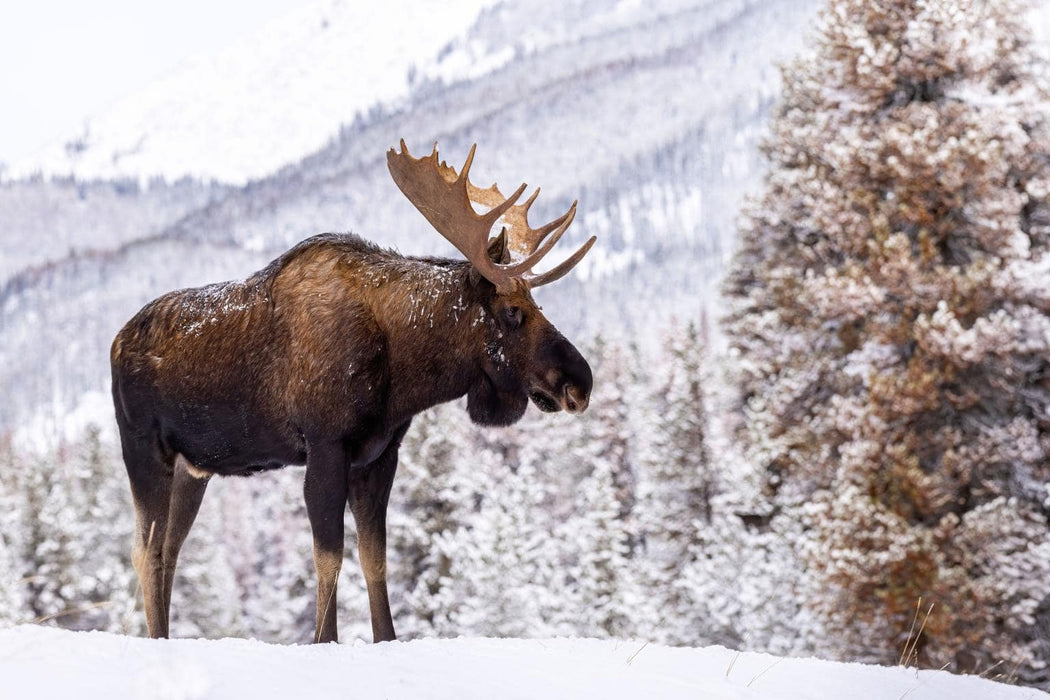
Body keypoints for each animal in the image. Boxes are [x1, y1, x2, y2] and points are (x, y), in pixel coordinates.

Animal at [110, 141, 596, 644]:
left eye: (537, 303)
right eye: (513, 311)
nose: (580, 382)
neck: (403, 370)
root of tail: (116, 342)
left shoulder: (379, 455)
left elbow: (374, 558)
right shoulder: (327, 445)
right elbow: (329, 558)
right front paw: (325, 639)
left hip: (194, 468)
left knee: (170, 550)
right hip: (144, 449)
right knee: (145, 551)